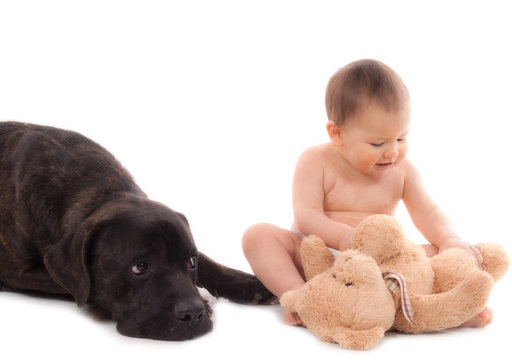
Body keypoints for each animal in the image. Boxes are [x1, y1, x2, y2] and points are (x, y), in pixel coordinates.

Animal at [0, 121, 274, 340]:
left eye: (191, 262)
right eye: (140, 267)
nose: (193, 313)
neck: (96, 193)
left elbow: (209, 262)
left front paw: (250, 283)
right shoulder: (19, 273)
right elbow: (78, 286)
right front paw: (205, 302)